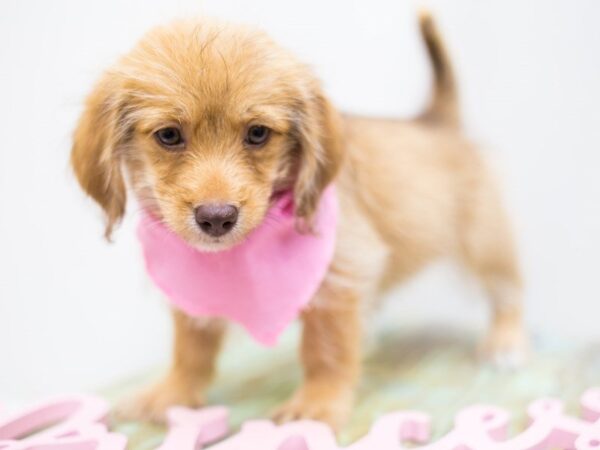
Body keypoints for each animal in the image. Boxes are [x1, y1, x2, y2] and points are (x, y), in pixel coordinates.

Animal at [72, 11, 528, 428]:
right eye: (168, 135)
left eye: (258, 134)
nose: (216, 218)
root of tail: (436, 120)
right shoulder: (192, 295)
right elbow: (191, 347)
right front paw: (173, 391)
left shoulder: (341, 274)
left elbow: (326, 349)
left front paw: (317, 403)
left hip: (486, 242)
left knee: (508, 290)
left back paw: (505, 341)